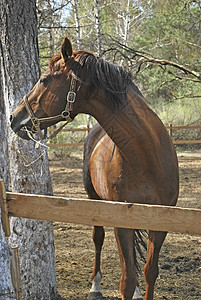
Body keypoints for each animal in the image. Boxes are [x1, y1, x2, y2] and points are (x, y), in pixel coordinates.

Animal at [10, 37, 178, 300]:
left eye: (44, 79)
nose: (14, 118)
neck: (148, 154)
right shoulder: (122, 220)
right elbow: (127, 279)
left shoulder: (162, 222)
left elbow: (150, 271)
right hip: (94, 199)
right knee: (98, 238)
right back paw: (96, 286)